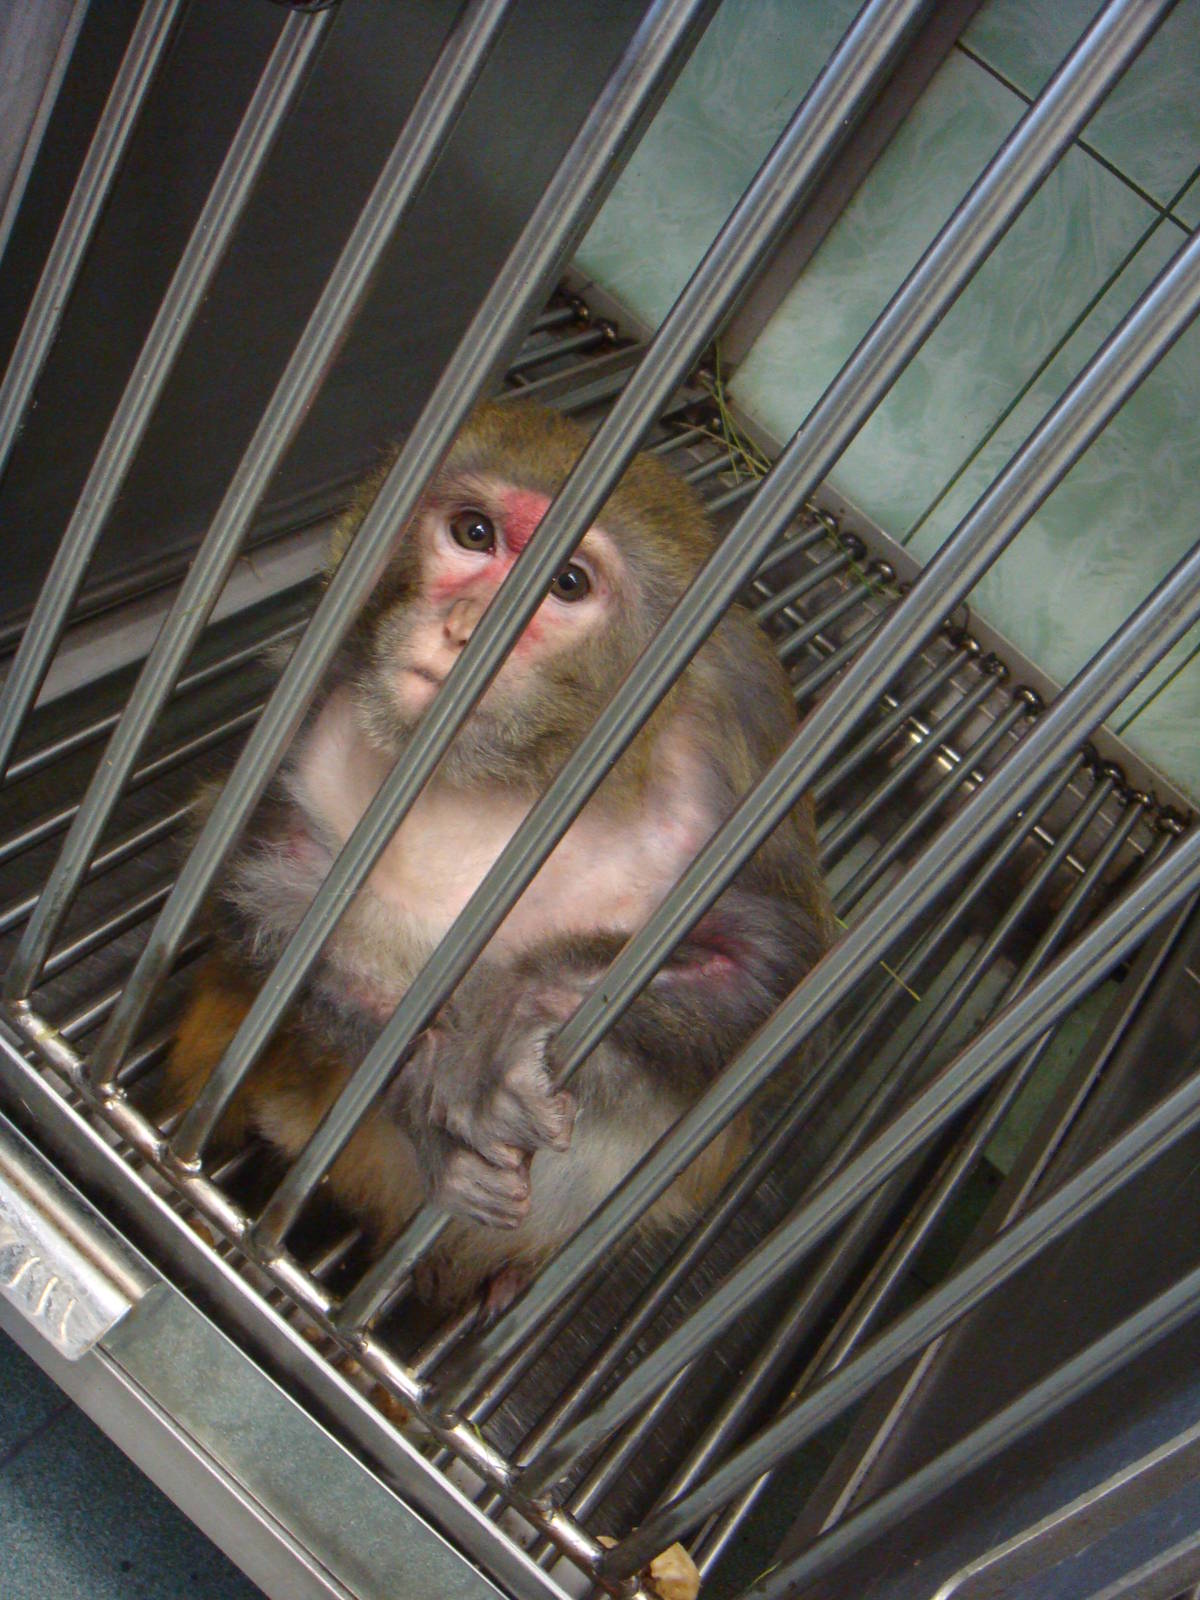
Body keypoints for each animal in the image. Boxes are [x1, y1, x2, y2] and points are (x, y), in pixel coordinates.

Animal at [158, 401, 835, 1311]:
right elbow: (249, 890)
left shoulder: (733, 731)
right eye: (474, 534)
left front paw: (511, 1019)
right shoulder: (322, 680)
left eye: (568, 584)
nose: (468, 630)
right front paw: (421, 1094)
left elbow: (775, 972)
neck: (511, 771)